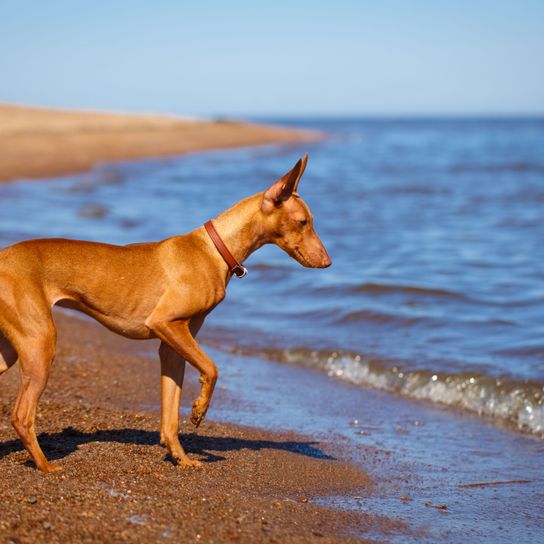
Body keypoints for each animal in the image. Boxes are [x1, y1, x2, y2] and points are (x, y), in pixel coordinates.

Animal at [0, 154, 330, 472]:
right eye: (303, 222)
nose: (328, 262)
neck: (213, 249)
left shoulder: (172, 345)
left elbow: (170, 415)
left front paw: (180, 457)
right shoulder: (166, 324)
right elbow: (212, 369)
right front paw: (199, 410)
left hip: (11, 351)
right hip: (40, 342)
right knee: (21, 416)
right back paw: (45, 465)